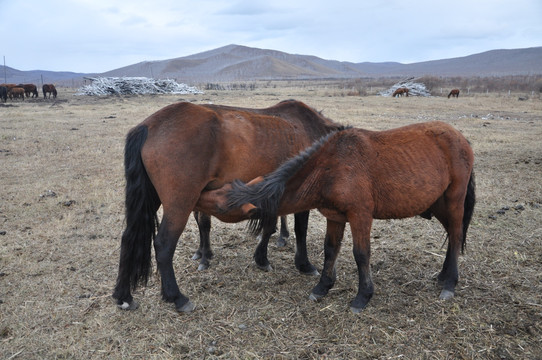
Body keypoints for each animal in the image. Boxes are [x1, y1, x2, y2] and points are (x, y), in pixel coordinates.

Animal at [113, 99, 344, 312]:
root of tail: (148, 126)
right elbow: (300, 229)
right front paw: (304, 264)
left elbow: (270, 227)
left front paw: (262, 258)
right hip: (180, 205)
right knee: (163, 245)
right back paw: (177, 297)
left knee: (129, 238)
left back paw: (123, 296)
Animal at [201, 121, 476, 312]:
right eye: (222, 189)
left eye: (222, 206)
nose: (200, 193)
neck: (330, 169)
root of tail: (459, 136)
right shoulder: (334, 218)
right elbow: (330, 250)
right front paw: (322, 287)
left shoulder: (360, 216)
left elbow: (361, 254)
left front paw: (362, 297)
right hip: (437, 204)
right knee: (451, 235)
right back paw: (443, 275)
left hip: (454, 201)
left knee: (455, 234)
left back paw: (450, 283)